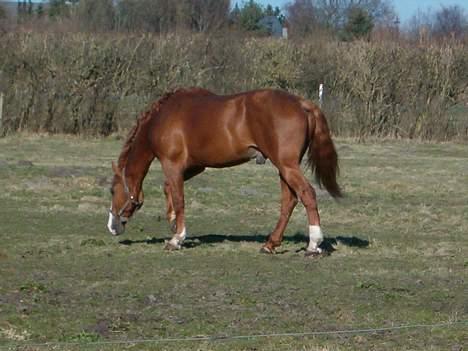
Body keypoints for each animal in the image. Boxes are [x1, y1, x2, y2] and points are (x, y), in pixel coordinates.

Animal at [107, 87, 340, 258]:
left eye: (112, 190)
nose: (111, 227)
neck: (162, 118)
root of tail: (302, 103)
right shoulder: (195, 166)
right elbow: (168, 189)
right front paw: (173, 221)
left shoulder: (172, 165)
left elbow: (179, 198)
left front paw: (177, 238)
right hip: (284, 169)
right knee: (289, 201)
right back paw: (271, 244)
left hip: (287, 166)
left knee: (307, 194)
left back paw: (313, 244)